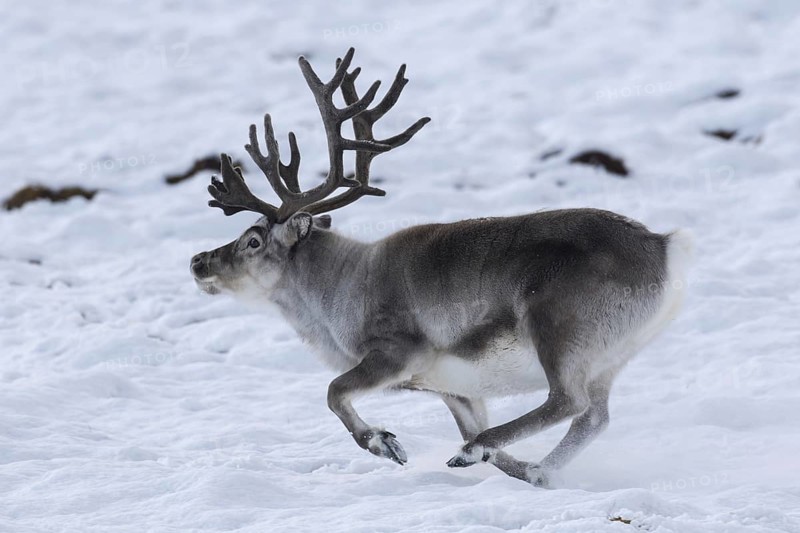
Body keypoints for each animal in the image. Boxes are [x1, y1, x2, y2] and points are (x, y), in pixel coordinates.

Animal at [190, 48, 693, 487]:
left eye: (253, 240)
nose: (198, 262)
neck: (336, 293)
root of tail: (663, 246)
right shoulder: (453, 387)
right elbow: (472, 429)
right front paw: (513, 467)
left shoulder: (398, 352)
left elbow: (333, 391)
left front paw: (386, 443)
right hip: (611, 357)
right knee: (594, 417)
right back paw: (538, 470)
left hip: (558, 328)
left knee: (568, 400)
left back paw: (488, 453)